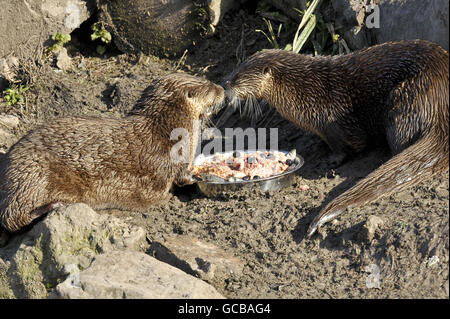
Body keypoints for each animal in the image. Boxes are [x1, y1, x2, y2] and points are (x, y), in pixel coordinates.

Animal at [0, 73, 225, 235]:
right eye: (210, 87)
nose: (223, 89)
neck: (166, 129)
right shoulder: (176, 160)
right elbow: (183, 178)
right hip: (36, 174)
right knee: (13, 219)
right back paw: (55, 205)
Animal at [225, 39, 450, 238]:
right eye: (233, 70)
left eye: (237, 77)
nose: (225, 83)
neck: (302, 89)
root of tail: (439, 108)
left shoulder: (331, 117)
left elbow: (350, 145)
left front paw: (330, 161)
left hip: (406, 97)